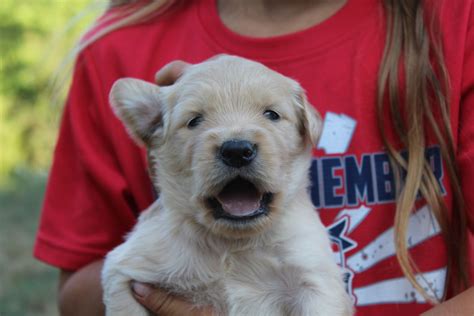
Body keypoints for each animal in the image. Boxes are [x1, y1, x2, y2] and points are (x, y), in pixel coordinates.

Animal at [104, 55, 356, 314]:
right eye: (194, 120)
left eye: (272, 114)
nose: (237, 151)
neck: (232, 243)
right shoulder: (126, 270)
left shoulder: (315, 279)